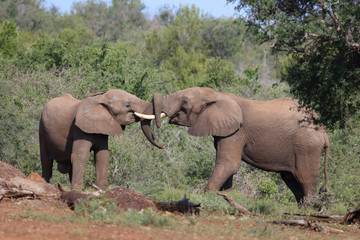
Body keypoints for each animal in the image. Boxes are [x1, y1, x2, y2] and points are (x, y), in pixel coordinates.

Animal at [150, 87, 330, 203]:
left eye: (185, 101)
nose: (162, 145)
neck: (218, 95)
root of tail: (323, 131)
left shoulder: (236, 132)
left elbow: (229, 164)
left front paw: (208, 198)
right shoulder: (225, 132)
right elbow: (227, 167)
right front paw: (227, 198)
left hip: (307, 146)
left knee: (305, 178)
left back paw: (309, 210)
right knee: (290, 179)